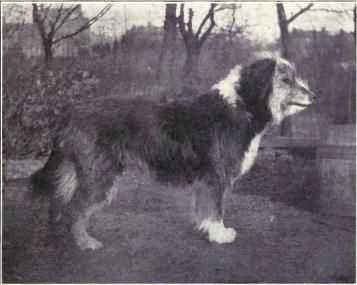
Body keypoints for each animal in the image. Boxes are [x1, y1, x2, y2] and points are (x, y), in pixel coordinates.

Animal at [31, 57, 314, 248]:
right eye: (286, 80)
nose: (313, 95)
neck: (242, 105)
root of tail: (72, 112)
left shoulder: (206, 180)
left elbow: (204, 208)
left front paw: (206, 229)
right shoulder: (215, 177)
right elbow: (216, 208)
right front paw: (219, 234)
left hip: (76, 171)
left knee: (58, 203)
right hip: (99, 175)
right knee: (74, 209)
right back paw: (84, 242)